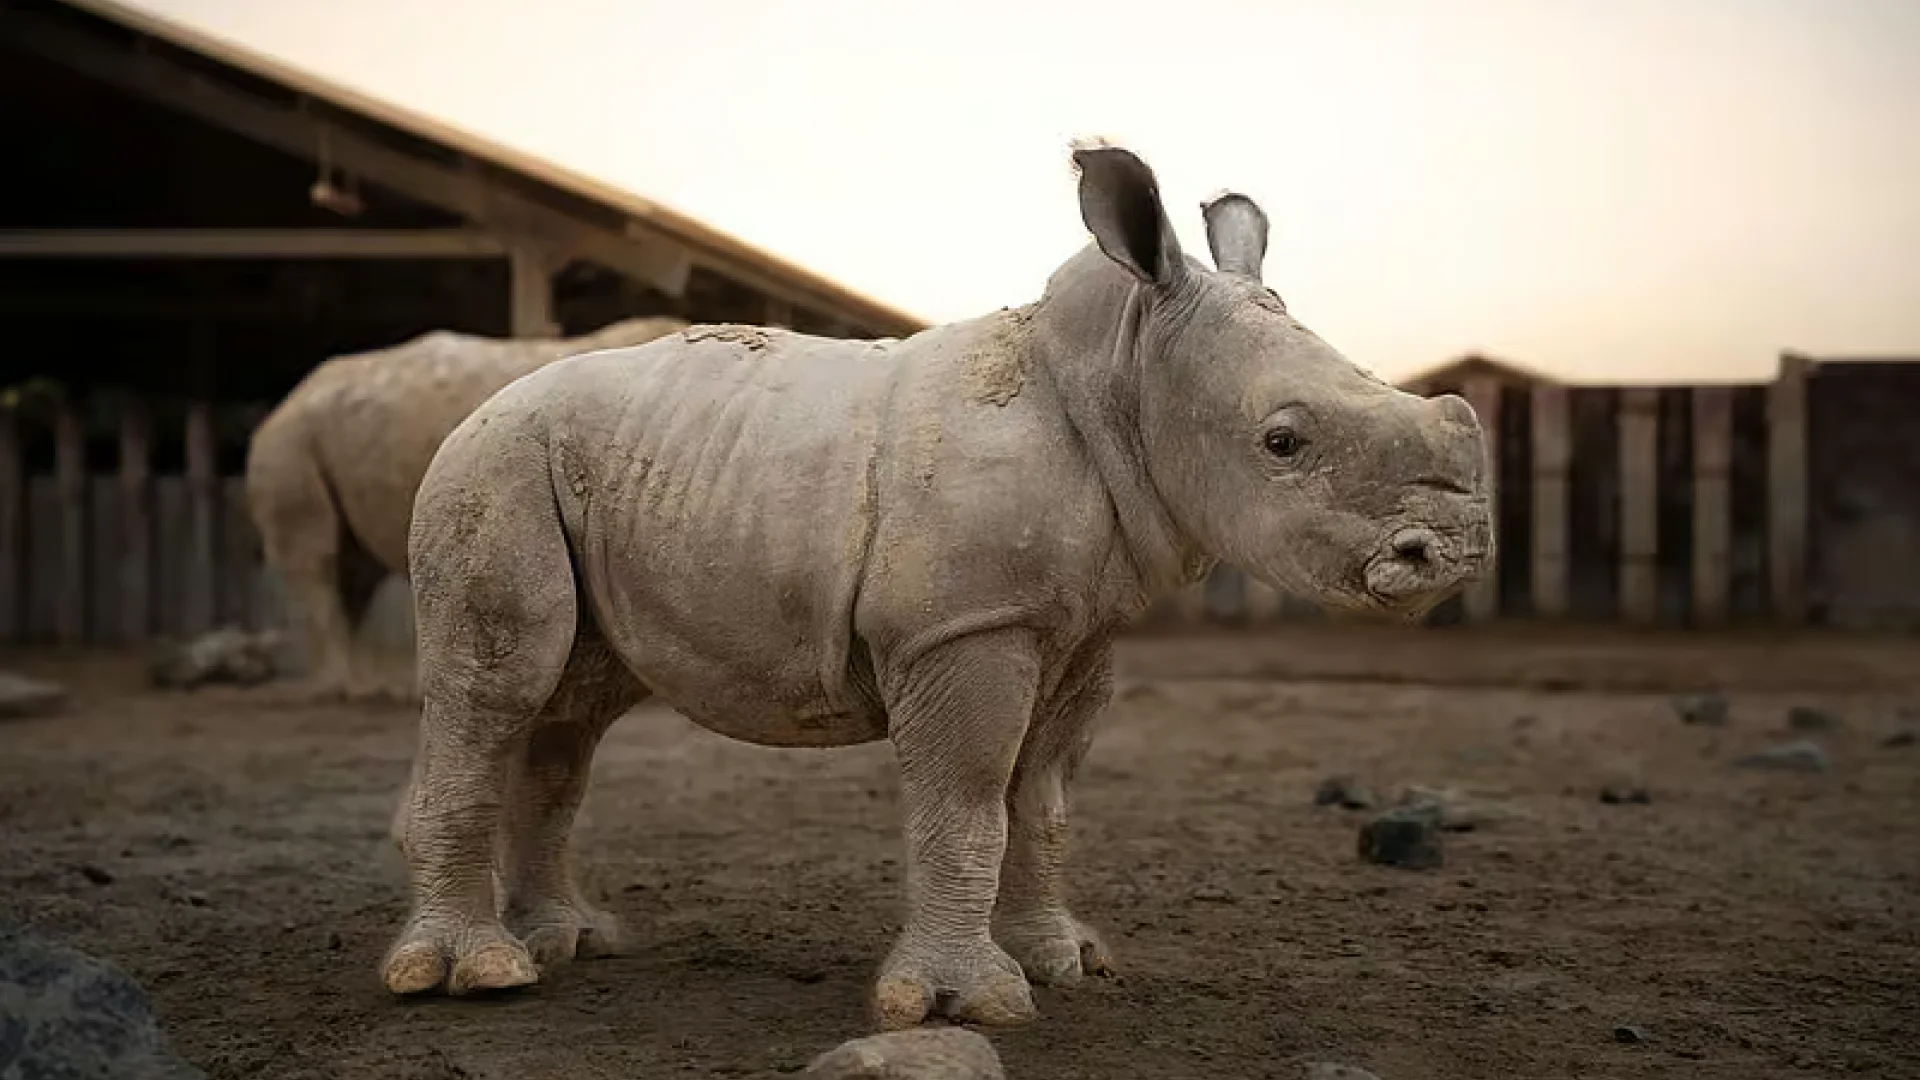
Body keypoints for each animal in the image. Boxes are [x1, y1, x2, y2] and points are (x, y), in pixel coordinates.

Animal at [244, 315, 687, 699]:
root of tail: (288, 398)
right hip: (291, 438)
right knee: (317, 556)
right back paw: (344, 690)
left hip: (329, 432)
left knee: (355, 568)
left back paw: (367, 688)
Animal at [380, 142, 1493, 1031]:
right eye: (1283, 442)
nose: (1449, 554)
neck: (1123, 372)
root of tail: (485, 402)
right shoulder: (966, 625)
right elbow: (966, 801)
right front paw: (972, 1002)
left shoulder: (1078, 628)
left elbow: (1041, 801)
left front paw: (1068, 962)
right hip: (492, 468)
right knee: (501, 689)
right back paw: (476, 978)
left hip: (576, 471)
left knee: (570, 715)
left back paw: (575, 941)